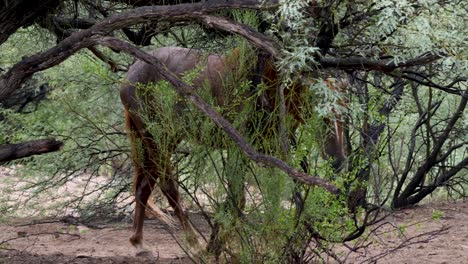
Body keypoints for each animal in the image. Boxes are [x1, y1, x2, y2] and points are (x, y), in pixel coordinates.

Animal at [119, 47, 348, 256]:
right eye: (323, 116)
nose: (338, 161)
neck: (269, 87)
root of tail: (130, 75)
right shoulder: (238, 150)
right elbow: (238, 199)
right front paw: (214, 248)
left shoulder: (269, 155)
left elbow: (275, 199)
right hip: (157, 139)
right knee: (168, 187)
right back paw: (194, 243)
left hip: (158, 141)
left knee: (144, 187)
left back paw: (138, 242)